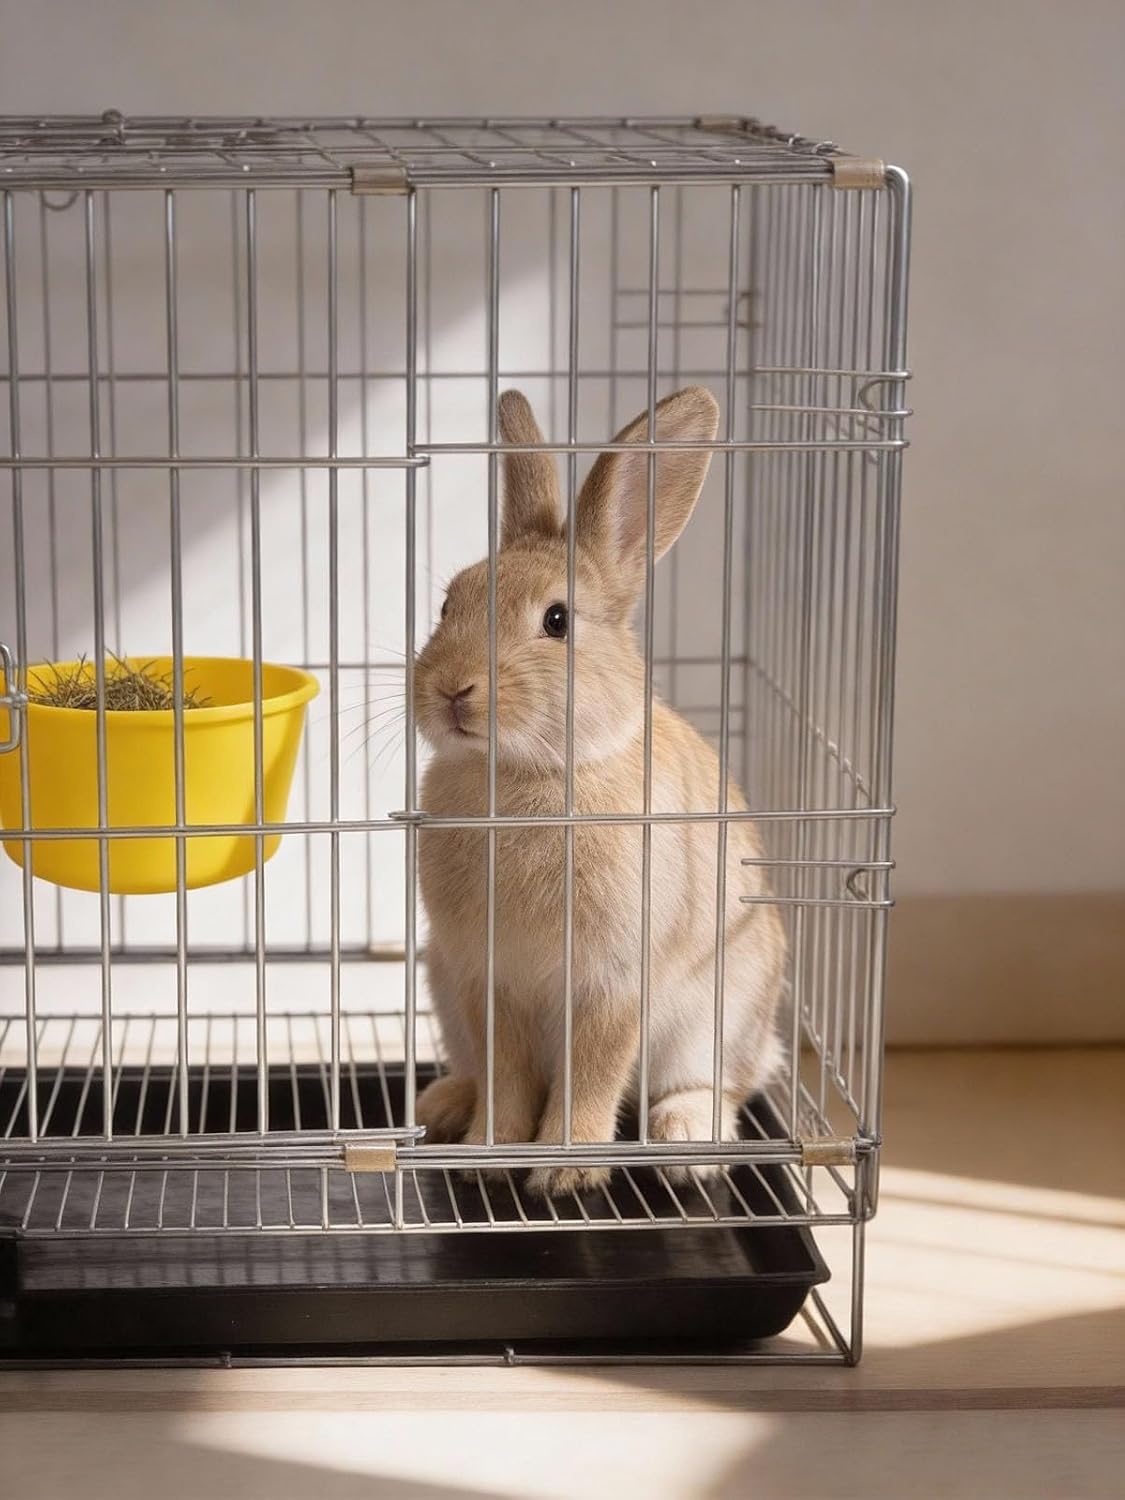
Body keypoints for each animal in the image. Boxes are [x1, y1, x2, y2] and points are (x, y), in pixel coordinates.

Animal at [414, 385, 786, 1199]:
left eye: (557, 621)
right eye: (447, 605)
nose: (451, 689)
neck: (532, 774)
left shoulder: (611, 983)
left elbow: (591, 1072)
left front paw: (564, 1173)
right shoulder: (486, 980)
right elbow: (508, 1077)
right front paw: (489, 1154)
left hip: (723, 1014)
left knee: (724, 1086)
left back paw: (687, 1141)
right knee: (475, 1070)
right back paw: (443, 1106)